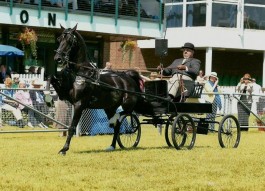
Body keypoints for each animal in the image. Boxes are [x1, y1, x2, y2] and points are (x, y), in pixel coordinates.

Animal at [50, 24, 152, 155]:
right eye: (59, 39)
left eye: (69, 40)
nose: (58, 58)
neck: (81, 73)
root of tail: (128, 76)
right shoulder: (66, 97)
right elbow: (53, 80)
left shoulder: (79, 104)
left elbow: (72, 127)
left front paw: (64, 149)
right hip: (109, 107)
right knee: (117, 126)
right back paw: (112, 146)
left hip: (127, 104)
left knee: (124, 115)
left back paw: (116, 122)